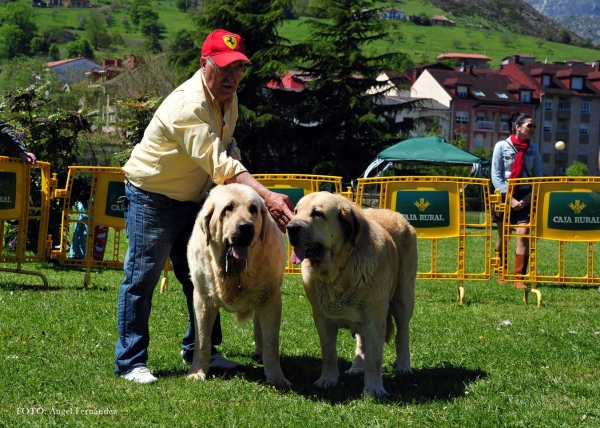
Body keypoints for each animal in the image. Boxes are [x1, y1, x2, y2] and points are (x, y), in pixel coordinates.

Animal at [188, 183, 290, 384]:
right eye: (228, 208)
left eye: (253, 210)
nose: (246, 227)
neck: (235, 270)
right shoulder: (202, 301)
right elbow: (203, 341)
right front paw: (197, 372)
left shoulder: (271, 300)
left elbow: (272, 342)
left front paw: (276, 376)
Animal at [286, 192, 418, 396]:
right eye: (295, 211)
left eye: (317, 214)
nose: (290, 227)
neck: (340, 270)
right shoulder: (322, 319)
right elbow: (329, 353)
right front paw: (328, 379)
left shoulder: (375, 319)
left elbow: (375, 358)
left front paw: (374, 388)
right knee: (362, 342)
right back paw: (357, 367)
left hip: (403, 297)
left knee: (402, 333)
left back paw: (404, 365)